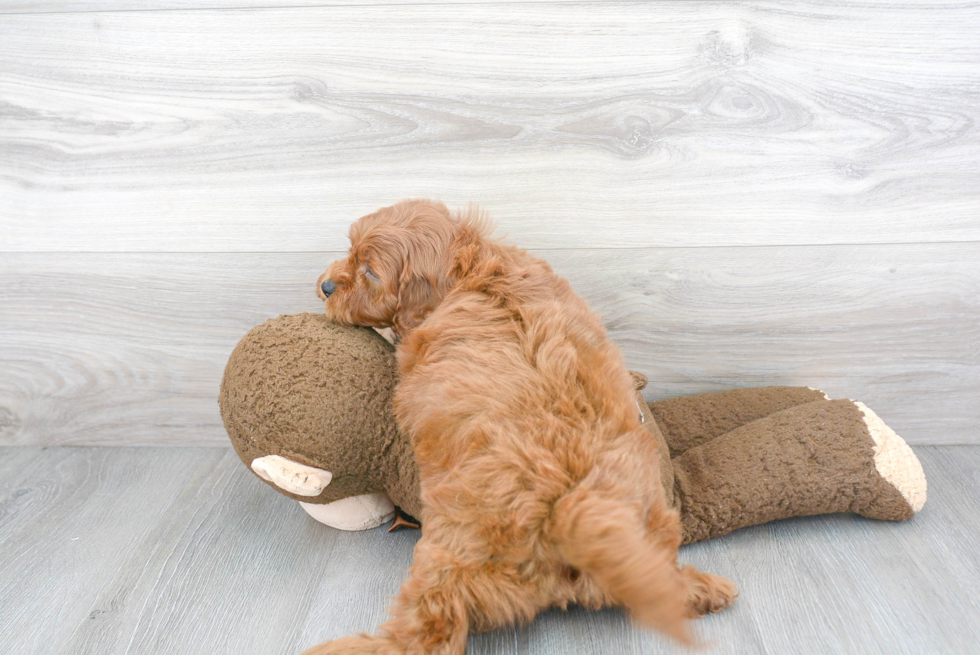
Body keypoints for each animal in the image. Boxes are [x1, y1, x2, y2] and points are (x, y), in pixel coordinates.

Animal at [308, 202, 736, 652]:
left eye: (370, 271)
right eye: (351, 251)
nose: (326, 286)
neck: (472, 268)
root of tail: (572, 512)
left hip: (449, 561)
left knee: (425, 632)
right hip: (651, 528)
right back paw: (703, 590)